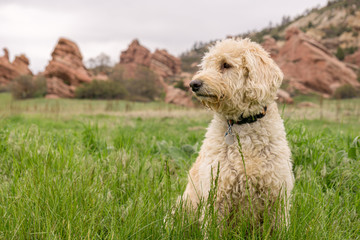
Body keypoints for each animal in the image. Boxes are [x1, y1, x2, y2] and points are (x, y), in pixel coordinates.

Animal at [181, 38, 294, 228]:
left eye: (225, 65)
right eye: (206, 65)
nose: (193, 84)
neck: (243, 123)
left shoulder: (277, 193)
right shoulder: (216, 193)